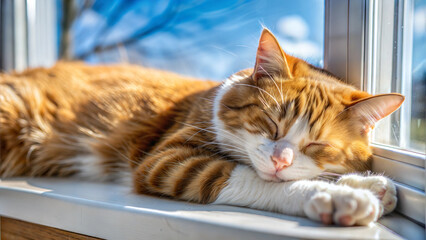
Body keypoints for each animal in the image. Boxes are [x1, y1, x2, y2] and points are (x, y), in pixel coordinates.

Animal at [0, 29, 402, 226]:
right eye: (271, 124)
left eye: (317, 146)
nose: (281, 161)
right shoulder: (167, 161)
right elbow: (258, 181)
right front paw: (338, 197)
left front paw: (366, 184)